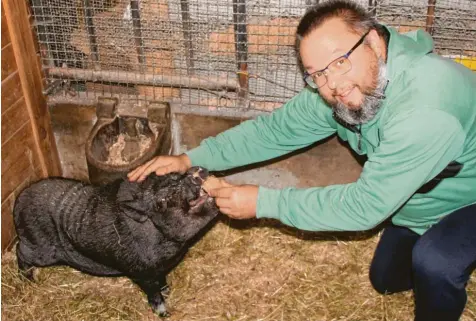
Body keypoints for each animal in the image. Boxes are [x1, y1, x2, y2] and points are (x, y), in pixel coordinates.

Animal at [13, 166, 219, 316]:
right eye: (161, 202)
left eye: (175, 174)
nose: (195, 172)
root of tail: (17, 202)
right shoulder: (140, 272)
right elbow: (153, 293)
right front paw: (164, 313)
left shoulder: (160, 268)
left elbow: (162, 282)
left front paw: (168, 291)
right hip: (41, 248)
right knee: (20, 250)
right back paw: (29, 280)